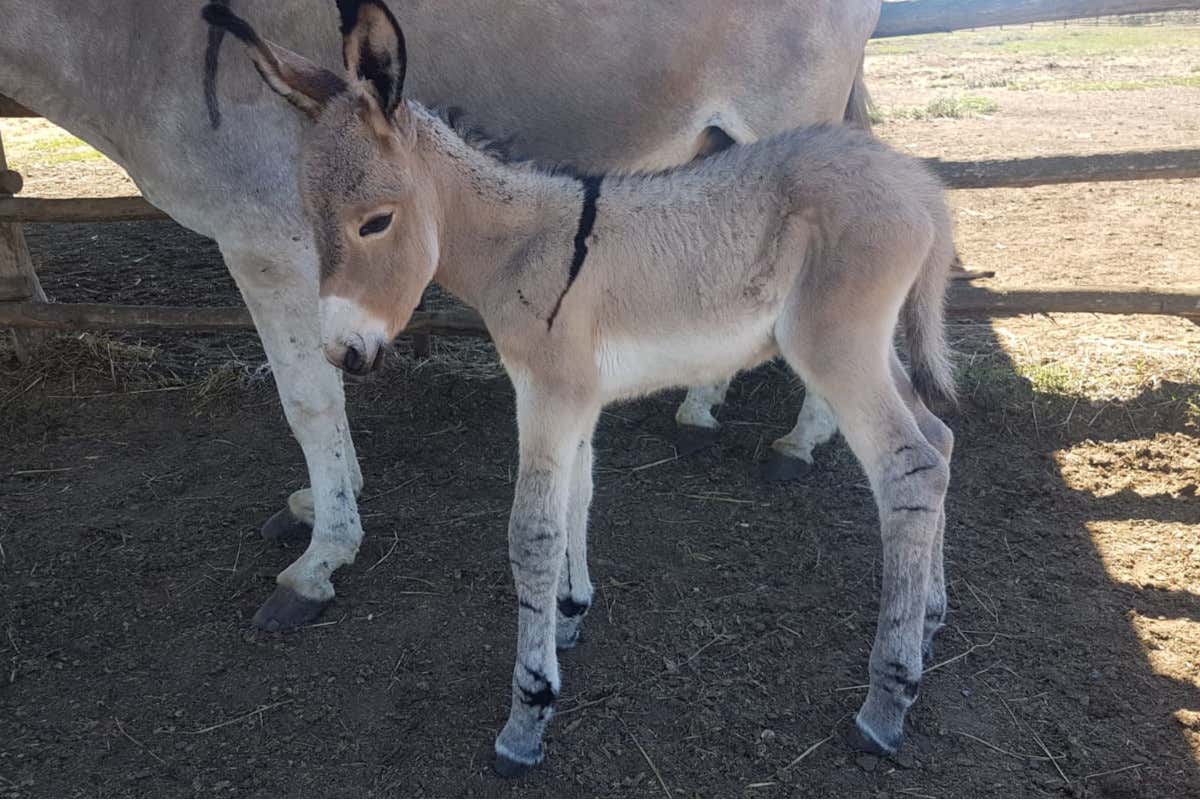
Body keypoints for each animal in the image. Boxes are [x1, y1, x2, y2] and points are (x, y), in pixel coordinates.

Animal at [208, 0, 955, 777]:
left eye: (376, 222)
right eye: (310, 223)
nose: (342, 354)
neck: (520, 247)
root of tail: (918, 186)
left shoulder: (547, 392)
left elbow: (531, 533)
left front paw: (528, 711)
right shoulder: (576, 399)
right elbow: (577, 499)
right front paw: (567, 617)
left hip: (836, 349)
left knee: (909, 470)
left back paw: (886, 702)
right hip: (874, 347)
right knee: (939, 441)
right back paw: (930, 619)